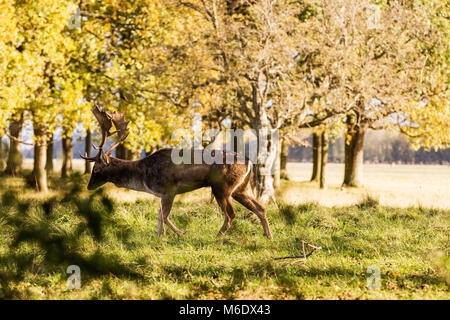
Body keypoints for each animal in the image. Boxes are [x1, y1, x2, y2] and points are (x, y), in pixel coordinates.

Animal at [79, 108, 272, 240]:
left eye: (96, 169)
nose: (89, 186)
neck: (143, 177)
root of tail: (249, 162)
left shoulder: (168, 189)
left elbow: (163, 216)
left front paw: (173, 234)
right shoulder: (163, 194)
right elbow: (161, 215)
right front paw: (164, 235)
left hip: (221, 187)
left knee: (231, 214)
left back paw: (217, 237)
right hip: (241, 188)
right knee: (260, 207)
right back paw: (268, 236)